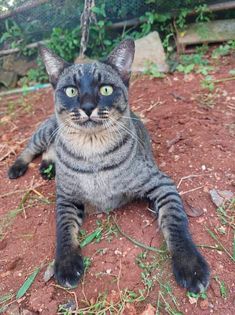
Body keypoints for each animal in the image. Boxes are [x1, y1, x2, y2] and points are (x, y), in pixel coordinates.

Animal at [8, 39, 209, 294]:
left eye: (105, 89)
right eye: (71, 91)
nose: (87, 106)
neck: (93, 152)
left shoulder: (162, 184)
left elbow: (175, 222)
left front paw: (190, 265)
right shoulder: (66, 196)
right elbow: (63, 229)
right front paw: (66, 263)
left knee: (47, 152)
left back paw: (46, 168)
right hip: (46, 132)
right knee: (31, 147)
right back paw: (18, 167)